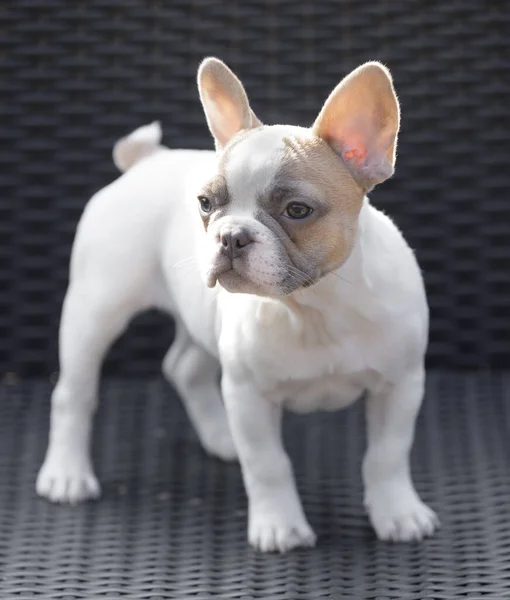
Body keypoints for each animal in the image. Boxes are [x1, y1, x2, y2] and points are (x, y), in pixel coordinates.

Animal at [35, 58, 438, 552]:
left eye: (298, 210)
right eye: (206, 204)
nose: (230, 235)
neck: (314, 307)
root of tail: (148, 160)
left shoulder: (399, 385)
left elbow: (387, 455)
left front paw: (398, 513)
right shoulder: (249, 395)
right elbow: (268, 464)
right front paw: (280, 525)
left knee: (184, 368)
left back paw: (220, 436)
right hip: (95, 309)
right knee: (73, 393)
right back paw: (66, 474)